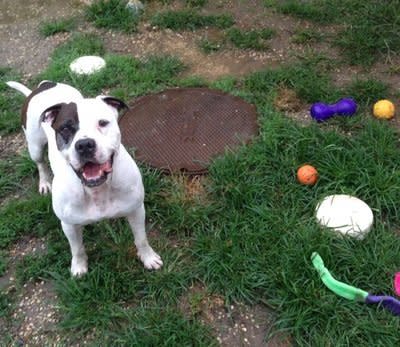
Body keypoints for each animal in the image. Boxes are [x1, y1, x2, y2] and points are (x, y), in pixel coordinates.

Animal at [7, 82, 162, 278]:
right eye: (65, 128)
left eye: (103, 123)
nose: (84, 145)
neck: (97, 189)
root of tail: (43, 86)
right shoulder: (69, 225)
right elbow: (77, 249)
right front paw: (79, 267)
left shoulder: (136, 210)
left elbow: (141, 238)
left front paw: (148, 258)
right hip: (34, 146)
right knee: (40, 163)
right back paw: (44, 182)